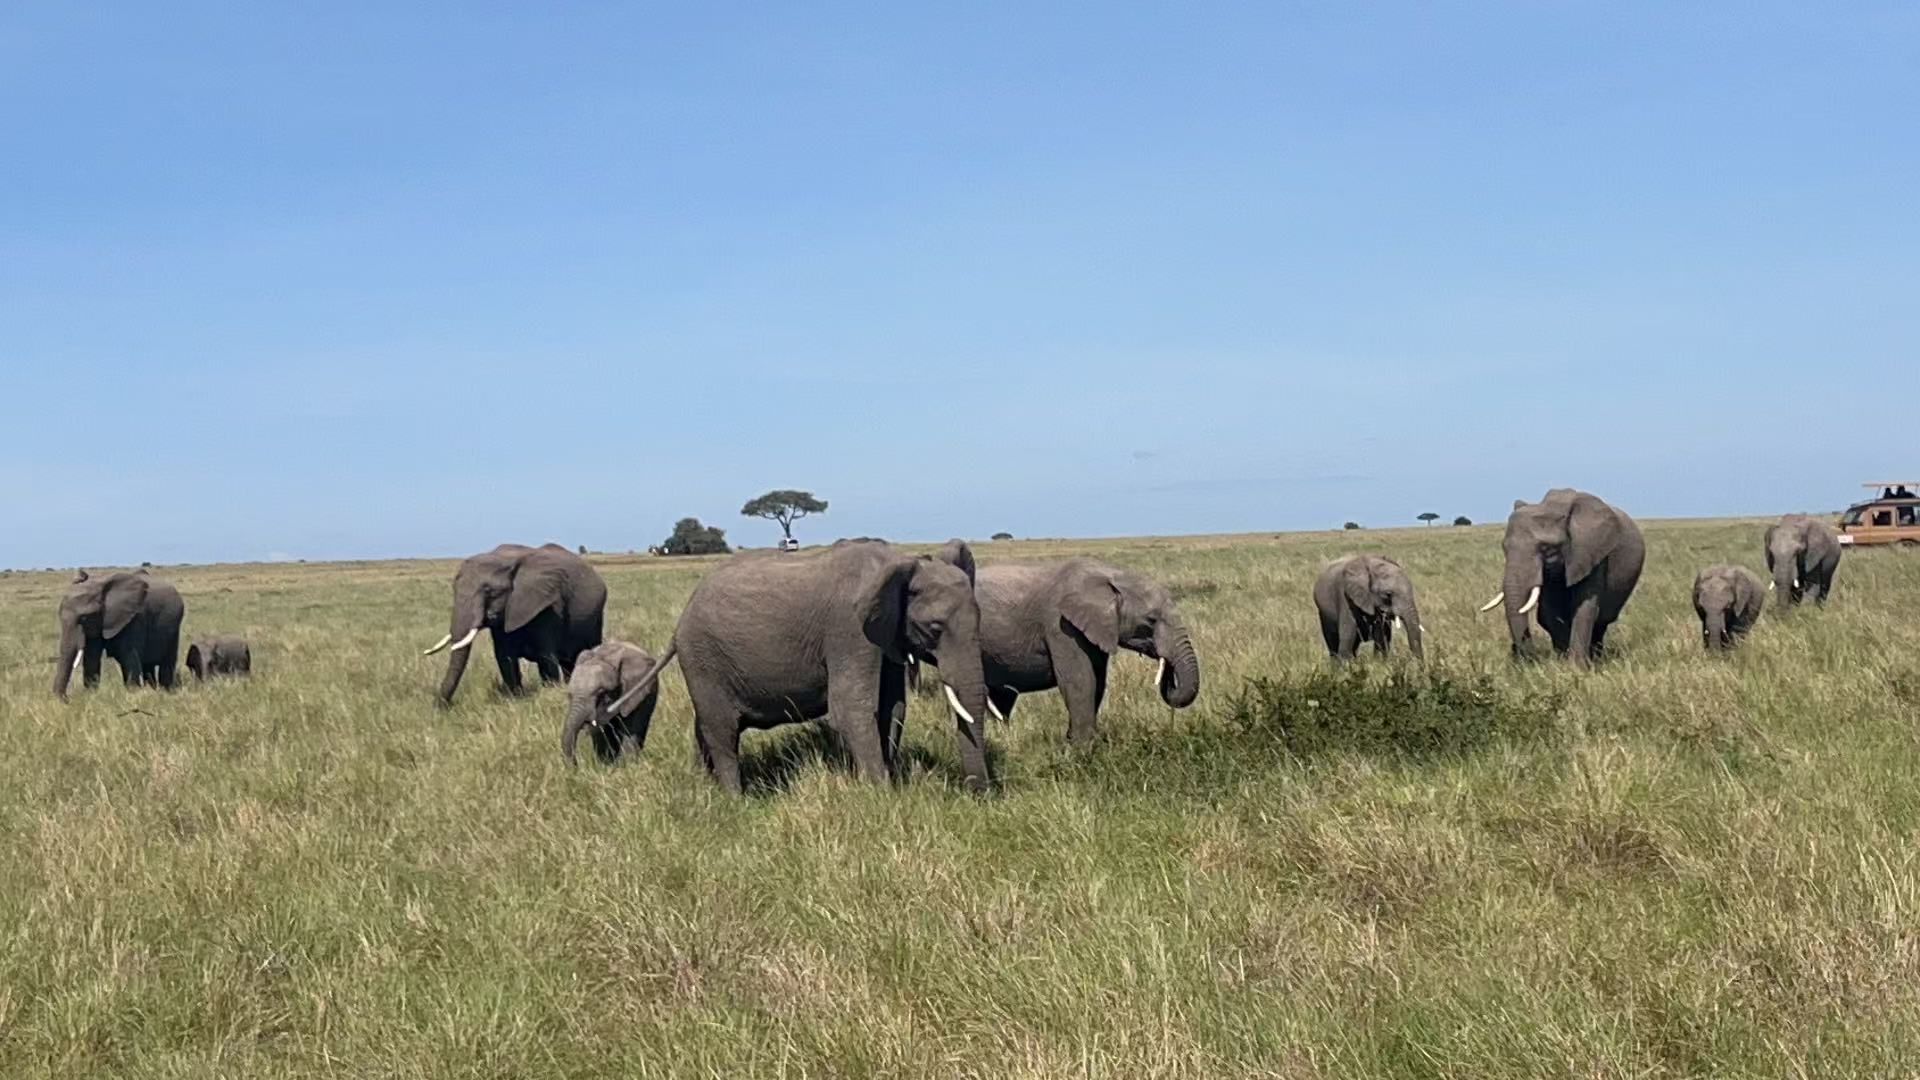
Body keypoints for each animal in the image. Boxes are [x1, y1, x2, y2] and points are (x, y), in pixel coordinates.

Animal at [53, 569, 186, 698]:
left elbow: (128, 655)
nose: (66, 699)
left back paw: (167, 691)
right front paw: (91, 695)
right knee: (148, 666)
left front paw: (134, 694)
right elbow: (91, 657)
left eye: (84, 618)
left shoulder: (135, 617)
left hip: (174, 627)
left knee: (167, 662)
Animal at [423, 543, 606, 704]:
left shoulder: (547, 607)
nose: (441, 706)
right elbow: (505, 659)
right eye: (454, 589)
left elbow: (546, 659)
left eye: (489, 591)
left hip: (596, 618)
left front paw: (549, 692)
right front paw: (516, 699)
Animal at [604, 538, 993, 794]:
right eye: (935, 629)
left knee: (706, 728)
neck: (902, 563)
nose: (980, 794)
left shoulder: (886, 636)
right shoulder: (848, 630)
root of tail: (681, 620)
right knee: (721, 729)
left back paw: (705, 787)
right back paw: (735, 800)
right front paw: (883, 795)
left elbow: (892, 706)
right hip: (702, 657)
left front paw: (892, 779)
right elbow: (851, 708)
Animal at [957, 555, 1200, 746]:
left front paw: (1074, 741)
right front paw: (1084, 751)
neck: (1110, 575)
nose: (1166, 668)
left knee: (1001, 697)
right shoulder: (1060, 625)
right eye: (1150, 620)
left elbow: (1098, 682)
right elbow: (1080, 680)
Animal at [1480, 488, 1645, 666]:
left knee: (1601, 623)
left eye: (1546, 549)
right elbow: (1550, 612)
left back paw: (1596, 658)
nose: (1524, 658)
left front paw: (1576, 667)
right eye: (1504, 548)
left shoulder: (1593, 554)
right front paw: (1561, 663)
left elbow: (1585, 608)